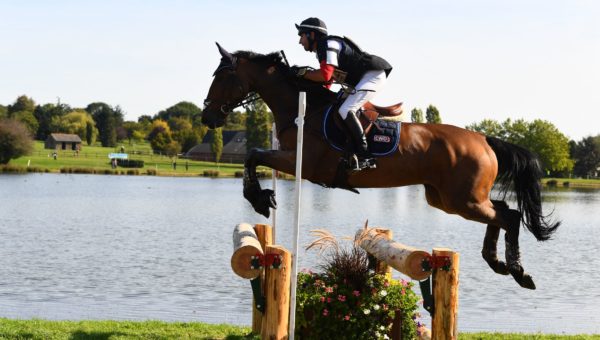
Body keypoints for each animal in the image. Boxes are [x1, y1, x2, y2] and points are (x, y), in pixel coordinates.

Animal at [203, 42, 564, 290]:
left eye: (221, 76)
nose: (207, 116)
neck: (302, 108)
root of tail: (484, 139)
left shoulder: (302, 162)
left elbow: (253, 154)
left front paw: (260, 199)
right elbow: (253, 156)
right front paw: (262, 198)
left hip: (463, 199)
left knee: (510, 215)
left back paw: (518, 271)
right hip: (449, 199)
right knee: (501, 211)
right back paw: (496, 262)